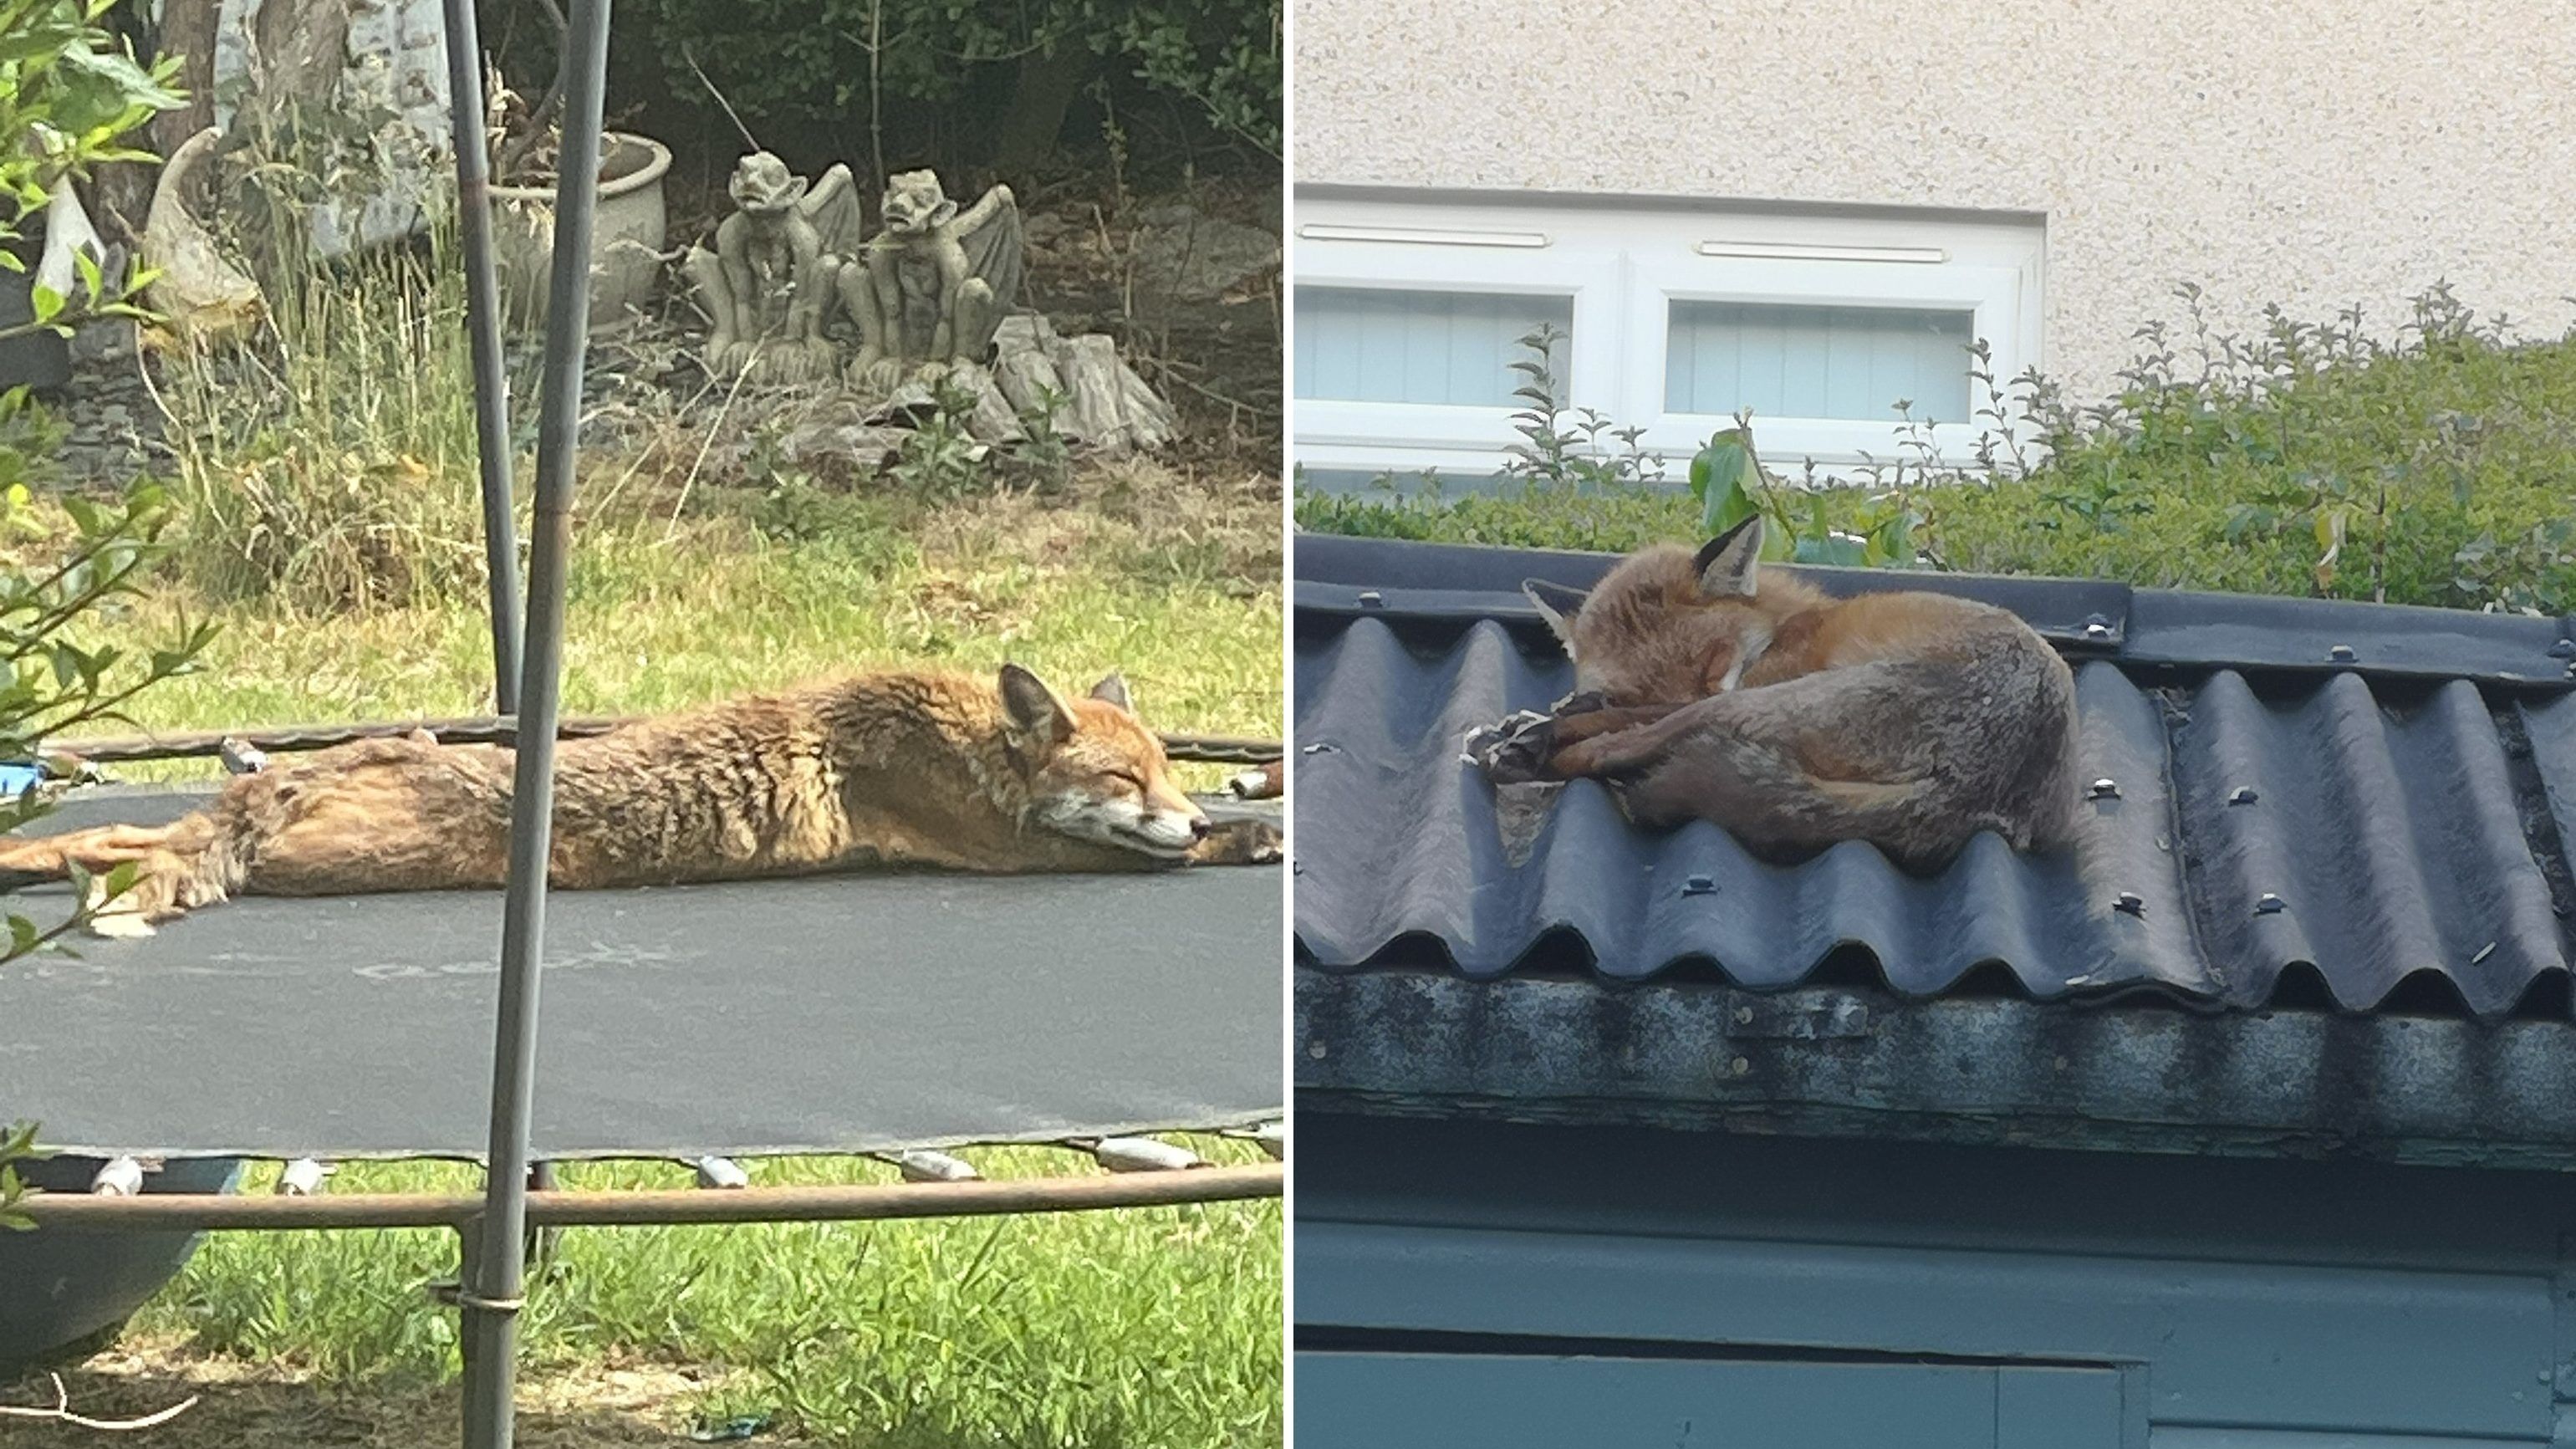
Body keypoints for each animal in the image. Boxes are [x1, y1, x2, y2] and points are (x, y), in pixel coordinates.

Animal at [1483, 513, 2081, 860]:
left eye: (1713, 662)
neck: (1784, 626)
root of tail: (1980, 793)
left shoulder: (1733, 689)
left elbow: (1627, 719)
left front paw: (1541, 726)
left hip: (1773, 702)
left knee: (1624, 746)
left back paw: (1534, 755)